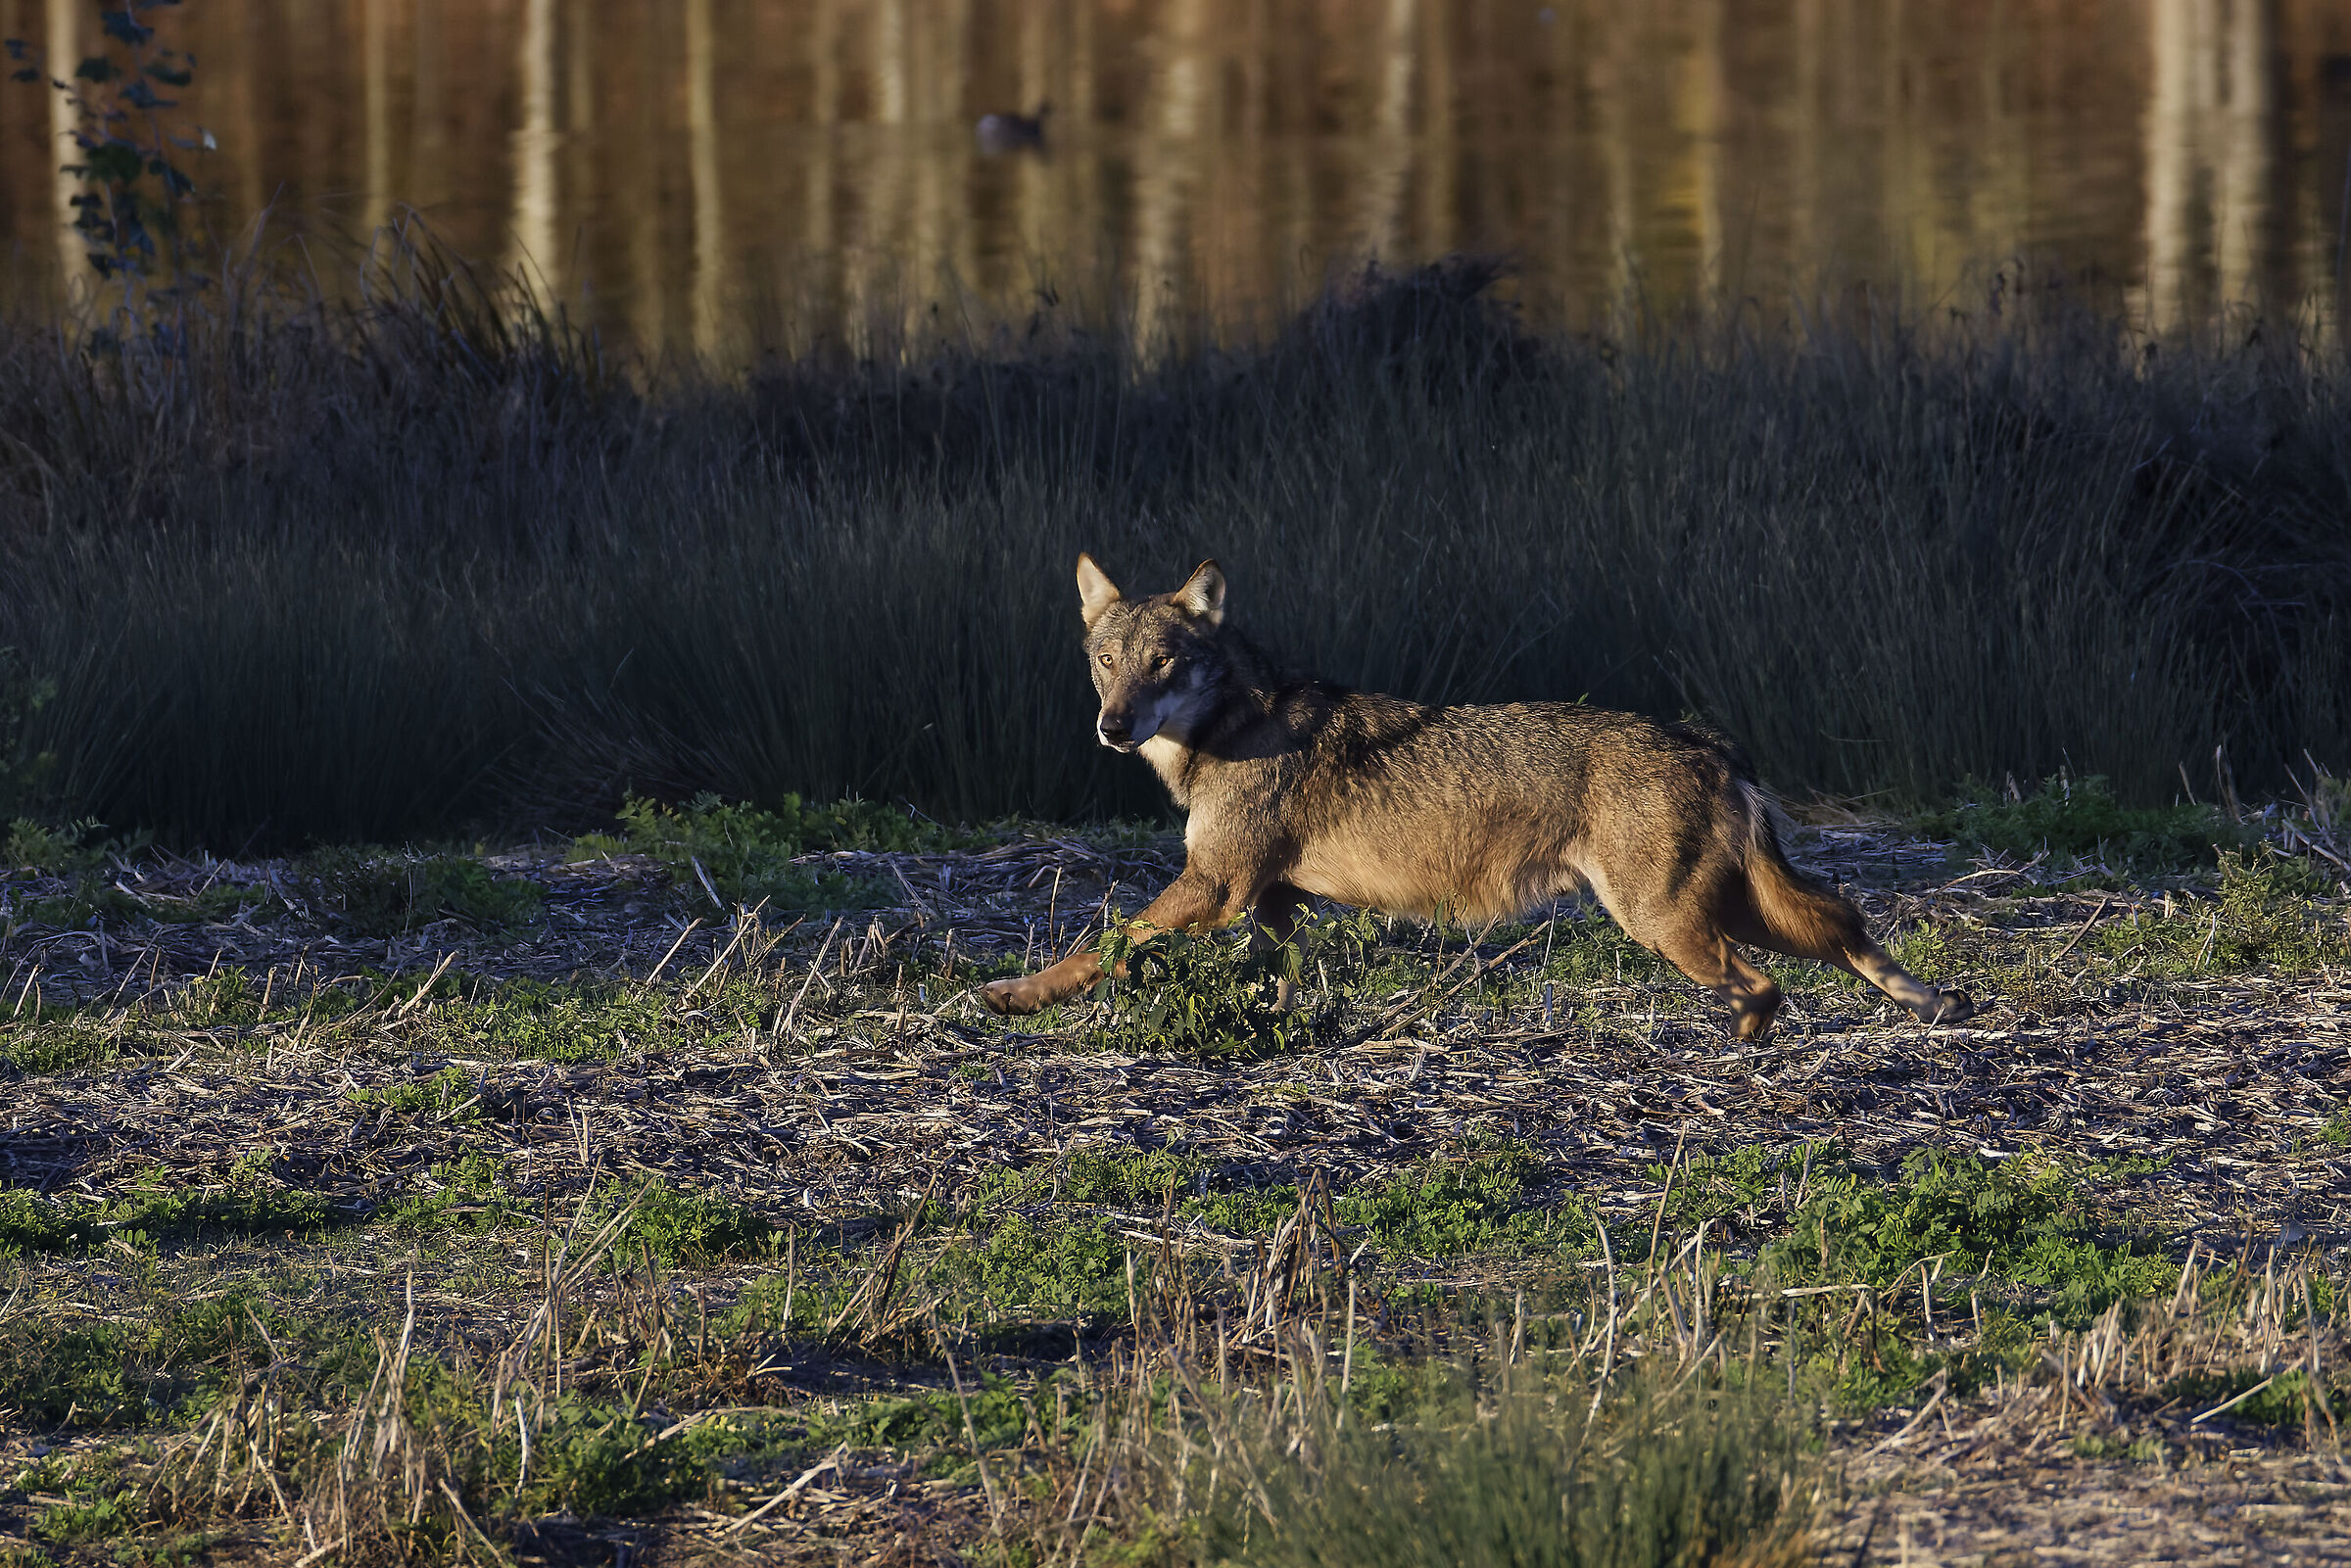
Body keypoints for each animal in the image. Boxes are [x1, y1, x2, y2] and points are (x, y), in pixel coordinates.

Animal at [979, 555, 1975, 1039]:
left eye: (1164, 663)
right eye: (1108, 660)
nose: (1113, 725)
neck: (1228, 725)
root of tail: (1708, 743)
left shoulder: (1214, 889)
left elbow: (1104, 942)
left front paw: (1016, 995)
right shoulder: (1270, 901)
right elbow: (1275, 979)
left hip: (1669, 925)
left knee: (1770, 983)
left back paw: (1746, 1041)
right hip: (1723, 912)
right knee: (1842, 924)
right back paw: (1933, 1005)